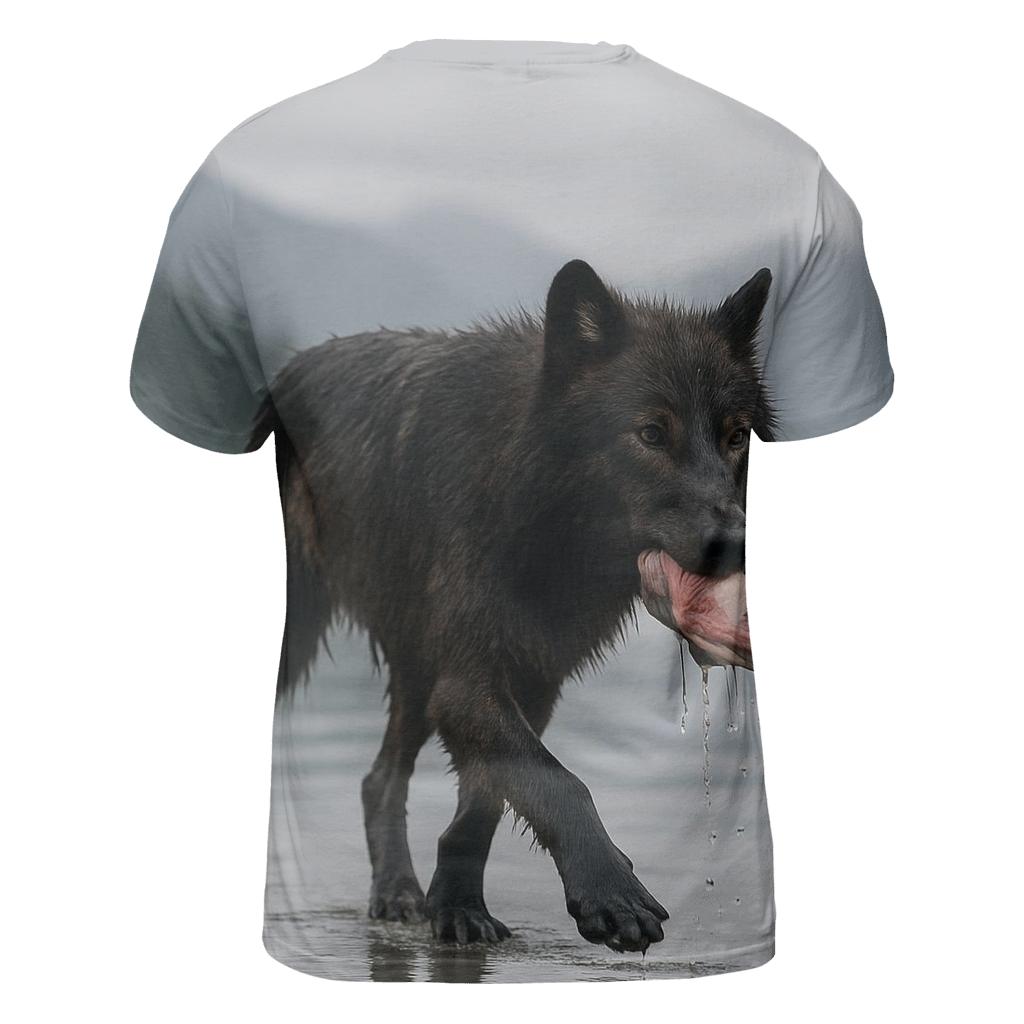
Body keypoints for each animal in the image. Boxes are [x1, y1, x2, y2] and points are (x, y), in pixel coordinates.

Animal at [251, 260, 774, 953]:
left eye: (737, 435)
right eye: (650, 433)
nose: (737, 545)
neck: (535, 513)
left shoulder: (531, 678)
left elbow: (489, 800)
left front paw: (456, 906)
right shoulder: (469, 679)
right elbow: (560, 782)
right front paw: (612, 894)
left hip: (418, 669)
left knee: (379, 779)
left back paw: (399, 891)